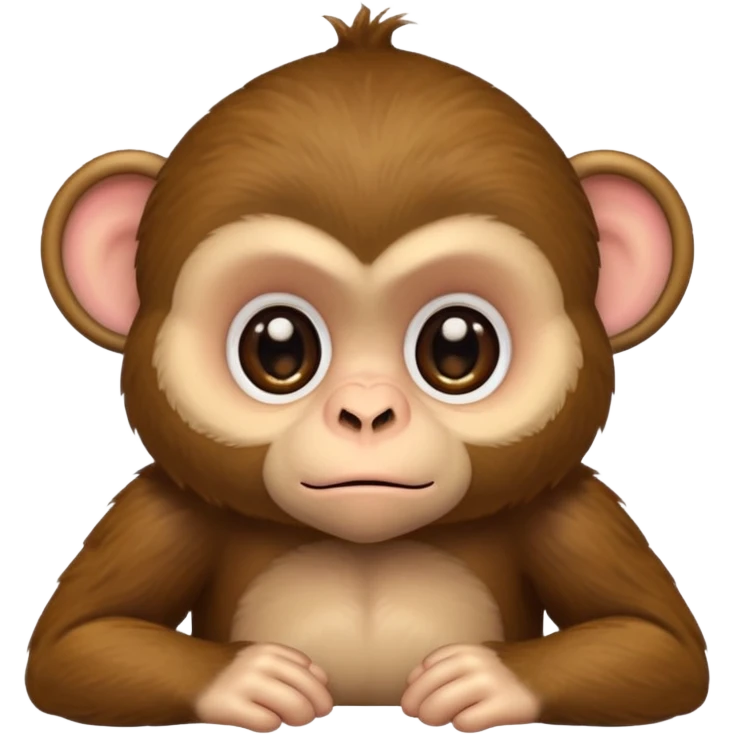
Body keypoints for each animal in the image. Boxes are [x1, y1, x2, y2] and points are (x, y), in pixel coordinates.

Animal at [25, 5, 709, 733]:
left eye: (457, 348)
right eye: (278, 349)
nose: (366, 411)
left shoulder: (574, 507)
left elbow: (661, 645)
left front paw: (482, 678)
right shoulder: (159, 507)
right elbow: (72, 647)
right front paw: (250, 677)